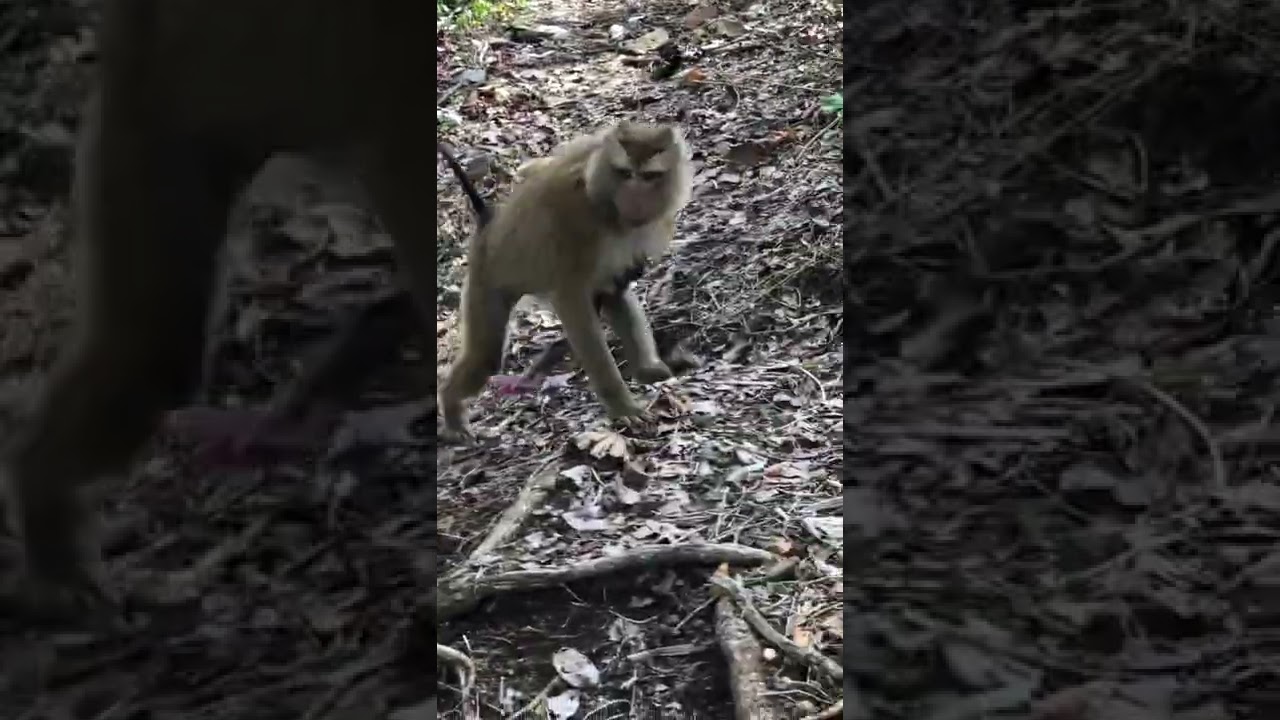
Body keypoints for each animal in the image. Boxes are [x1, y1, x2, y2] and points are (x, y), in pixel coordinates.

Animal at [437, 120, 693, 441]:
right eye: (624, 173)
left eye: (650, 176)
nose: (634, 197)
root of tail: (489, 224)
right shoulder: (575, 220)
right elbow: (573, 300)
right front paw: (623, 407)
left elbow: (614, 289)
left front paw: (648, 371)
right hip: (487, 277)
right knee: (485, 357)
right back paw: (451, 410)